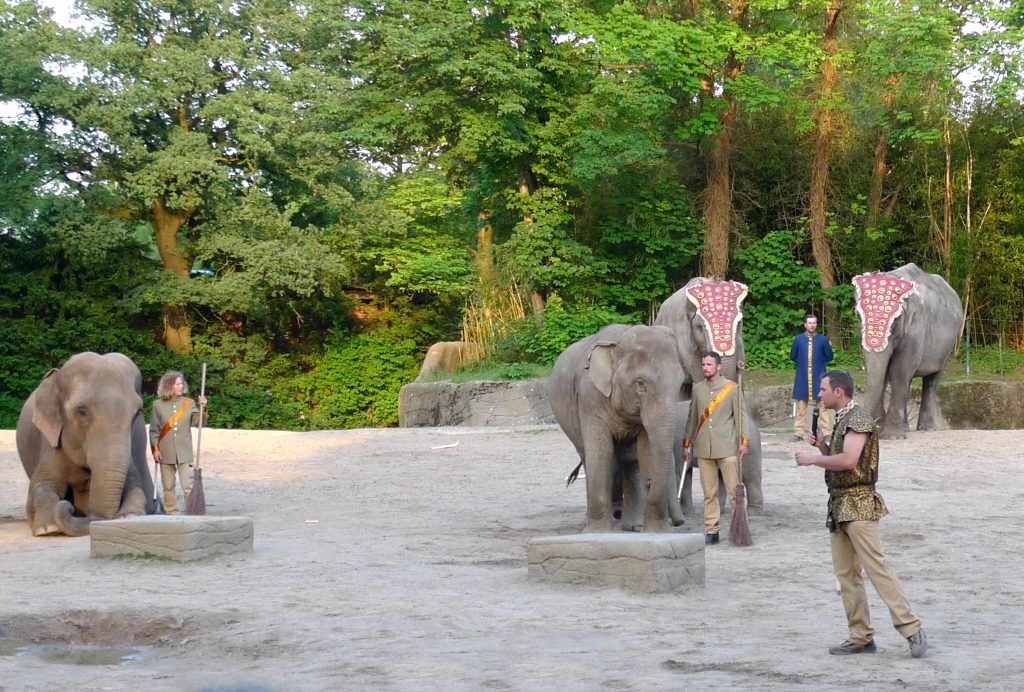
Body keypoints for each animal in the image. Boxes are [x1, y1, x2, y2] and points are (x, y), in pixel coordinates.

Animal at [14, 352, 156, 536]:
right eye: (81, 411)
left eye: (137, 412)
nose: (70, 509)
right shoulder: (51, 443)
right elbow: (41, 485)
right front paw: (48, 529)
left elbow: (136, 487)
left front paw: (130, 516)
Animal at [548, 325, 684, 536]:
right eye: (640, 384)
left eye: (680, 384)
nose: (680, 523)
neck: (619, 343)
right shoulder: (590, 398)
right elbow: (601, 451)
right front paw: (597, 533)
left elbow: (646, 451)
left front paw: (657, 533)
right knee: (588, 457)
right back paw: (590, 525)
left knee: (630, 462)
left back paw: (634, 526)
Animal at [851, 261, 962, 438]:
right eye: (858, 315)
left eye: (895, 322)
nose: (873, 426)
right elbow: (886, 372)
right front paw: (883, 430)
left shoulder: (916, 327)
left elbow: (899, 370)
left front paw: (891, 436)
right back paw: (905, 428)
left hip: (948, 346)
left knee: (932, 380)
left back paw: (927, 428)